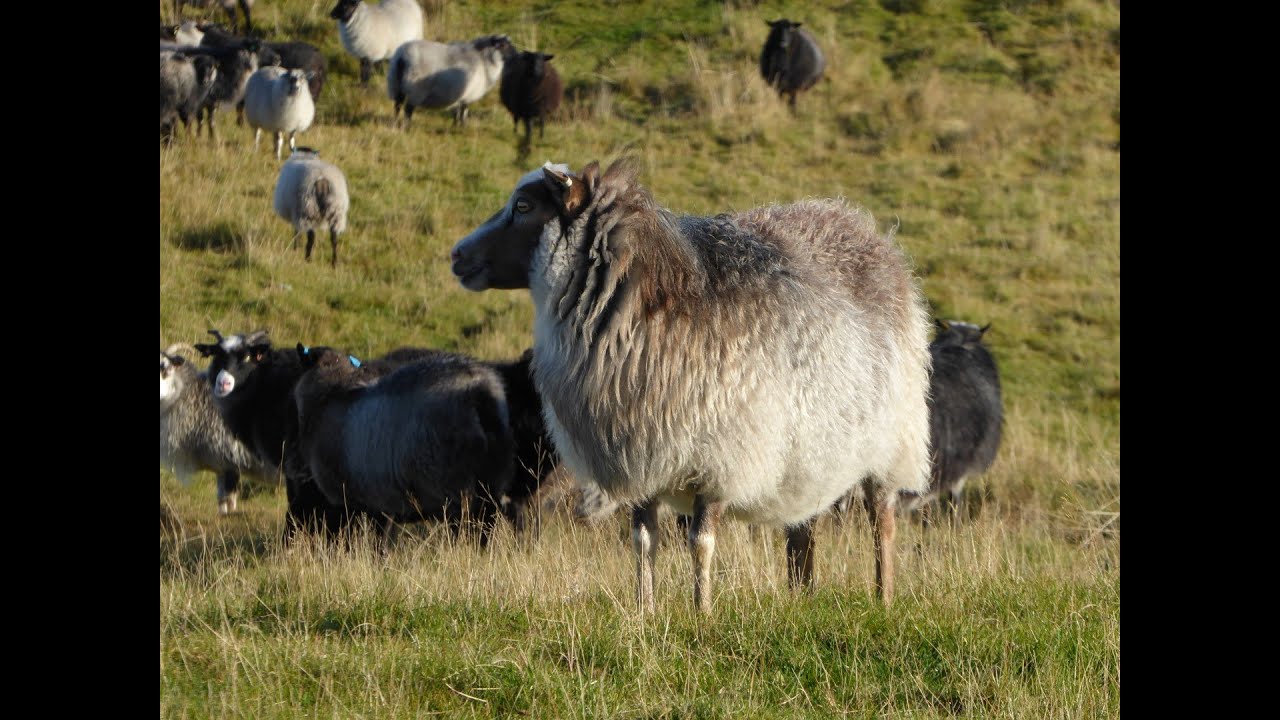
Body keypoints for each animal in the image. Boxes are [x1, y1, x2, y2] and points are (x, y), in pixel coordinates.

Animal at [160, 345, 272, 515]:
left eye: (165, 369)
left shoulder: (231, 458)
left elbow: (228, 495)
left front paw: (227, 513)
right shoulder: (222, 464)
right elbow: (222, 494)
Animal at [450, 159, 932, 613]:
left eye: (523, 207)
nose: (457, 255)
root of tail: (860, 226)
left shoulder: (720, 457)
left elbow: (700, 542)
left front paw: (702, 612)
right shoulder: (641, 457)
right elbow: (643, 540)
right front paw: (644, 611)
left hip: (893, 439)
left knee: (881, 521)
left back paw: (884, 597)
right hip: (811, 454)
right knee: (803, 529)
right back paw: (802, 598)